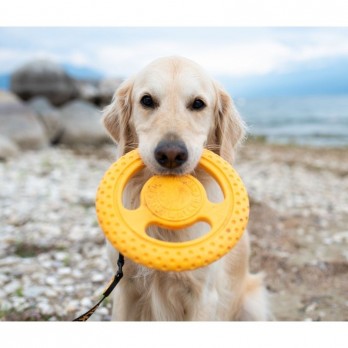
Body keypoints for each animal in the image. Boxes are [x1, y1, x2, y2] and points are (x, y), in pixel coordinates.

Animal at [102, 57, 268, 320]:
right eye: (147, 100)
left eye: (198, 104)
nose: (171, 154)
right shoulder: (125, 287)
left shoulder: (203, 296)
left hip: (253, 303)